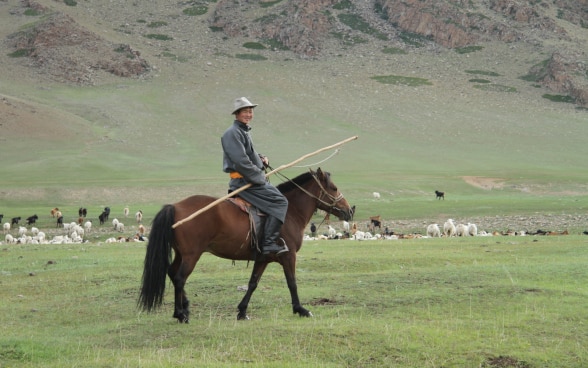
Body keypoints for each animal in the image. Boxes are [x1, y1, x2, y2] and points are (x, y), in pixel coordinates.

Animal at [138, 167, 354, 322]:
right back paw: (181, 314)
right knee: (180, 278)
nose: (349, 211)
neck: (290, 211)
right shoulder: (288, 255)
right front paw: (301, 309)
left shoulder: (263, 258)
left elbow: (253, 283)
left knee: (172, 273)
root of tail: (175, 207)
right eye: (334, 188)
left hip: (181, 254)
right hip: (192, 255)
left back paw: (184, 309)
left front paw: (242, 312)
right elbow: (292, 282)